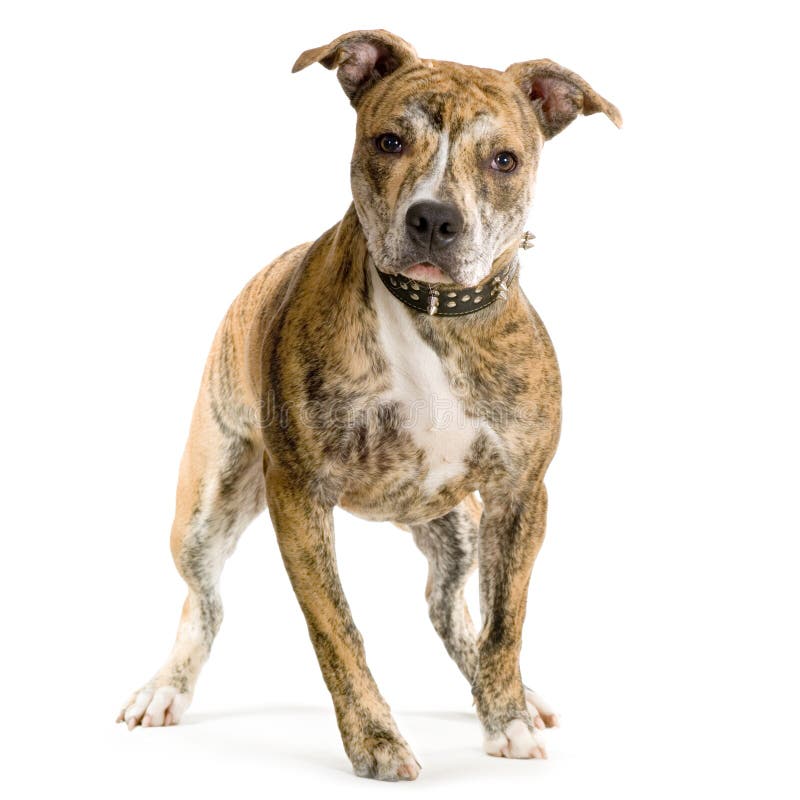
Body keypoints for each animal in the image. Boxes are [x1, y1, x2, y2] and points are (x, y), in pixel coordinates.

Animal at [115, 28, 620, 780]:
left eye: (503, 159)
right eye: (389, 141)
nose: (434, 218)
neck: (431, 316)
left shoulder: (520, 496)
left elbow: (505, 621)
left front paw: (507, 720)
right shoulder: (299, 497)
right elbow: (338, 632)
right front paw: (376, 741)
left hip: (459, 524)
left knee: (451, 610)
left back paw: (511, 694)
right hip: (207, 504)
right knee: (203, 604)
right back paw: (166, 689)